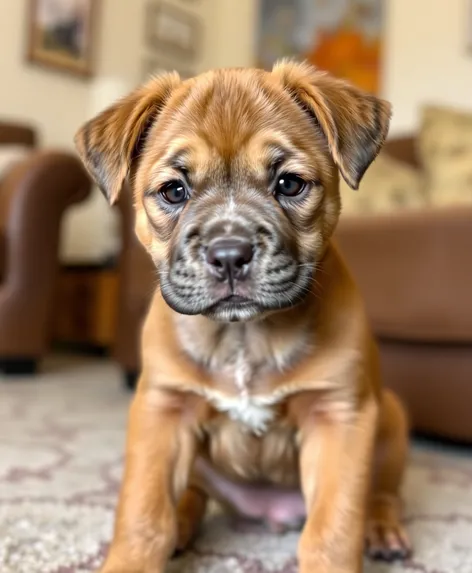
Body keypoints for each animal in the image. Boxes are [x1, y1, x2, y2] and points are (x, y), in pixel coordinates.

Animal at [74, 61, 410, 572]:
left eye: (289, 183)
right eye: (174, 190)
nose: (229, 254)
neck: (244, 338)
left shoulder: (338, 417)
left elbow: (332, 531)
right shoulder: (162, 412)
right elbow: (144, 515)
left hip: (388, 417)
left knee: (381, 494)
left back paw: (383, 528)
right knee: (190, 496)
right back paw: (183, 526)